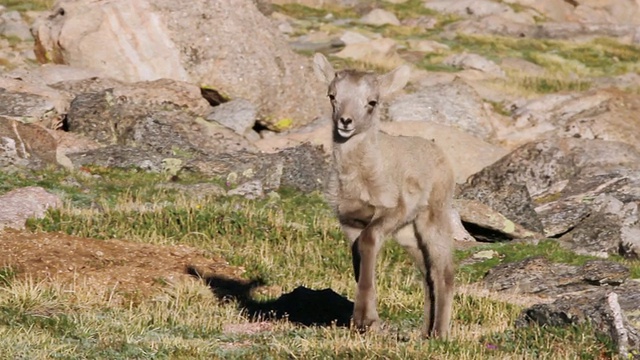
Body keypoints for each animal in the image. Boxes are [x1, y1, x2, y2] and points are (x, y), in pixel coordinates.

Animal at [314, 52, 456, 338]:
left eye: (372, 101)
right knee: (427, 276)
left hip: (431, 221)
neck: (360, 177)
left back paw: (439, 335)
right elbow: (359, 260)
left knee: (442, 273)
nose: (346, 121)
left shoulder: (390, 212)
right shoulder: (350, 222)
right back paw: (423, 334)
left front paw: (365, 320)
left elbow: (369, 243)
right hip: (407, 235)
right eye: (332, 95)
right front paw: (367, 322)